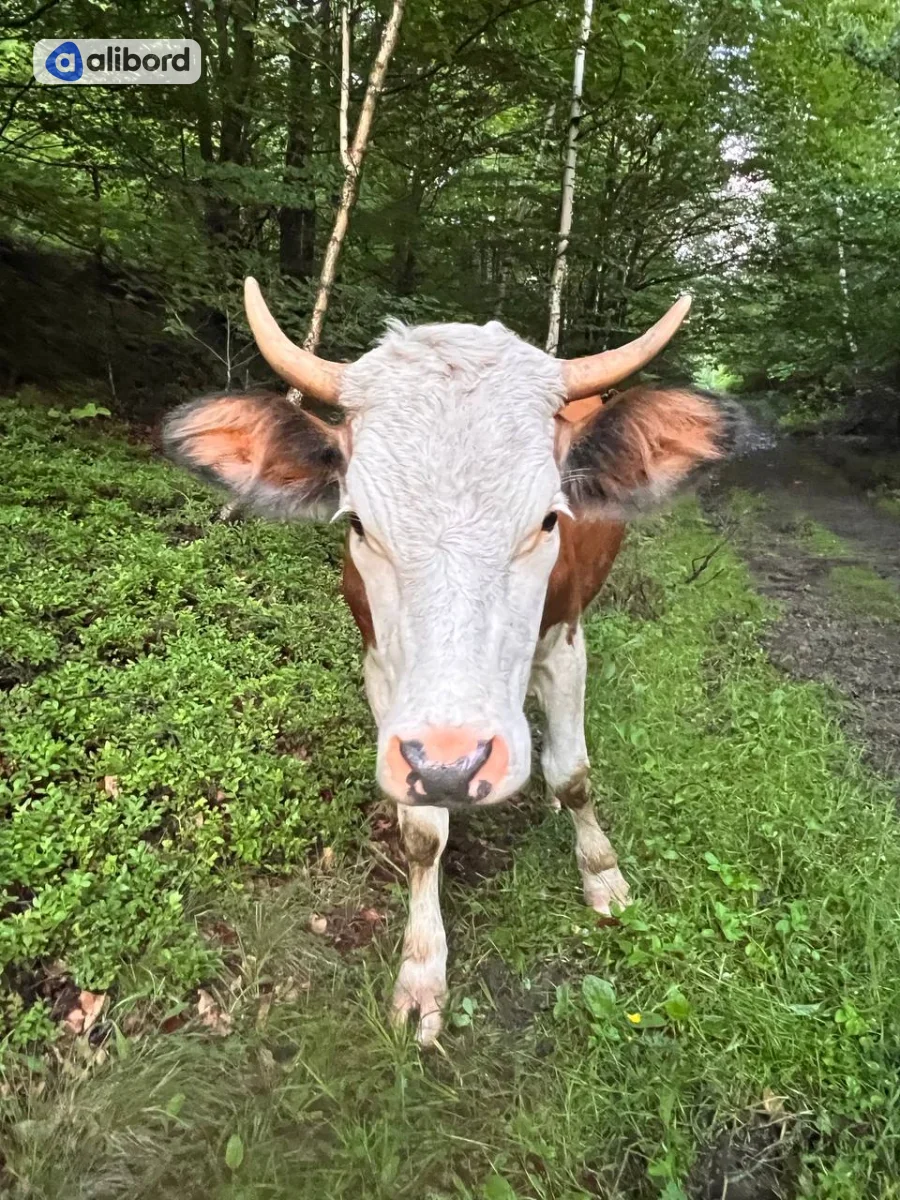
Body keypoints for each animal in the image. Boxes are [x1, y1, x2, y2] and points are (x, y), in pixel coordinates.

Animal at [163, 280, 747, 1044]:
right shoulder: (383, 672)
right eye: (358, 523)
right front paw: (421, 969)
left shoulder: (565, 644)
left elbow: (573, 774)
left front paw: (602, 874)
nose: (452, 764)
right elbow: (421, 833)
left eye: (549, 519)